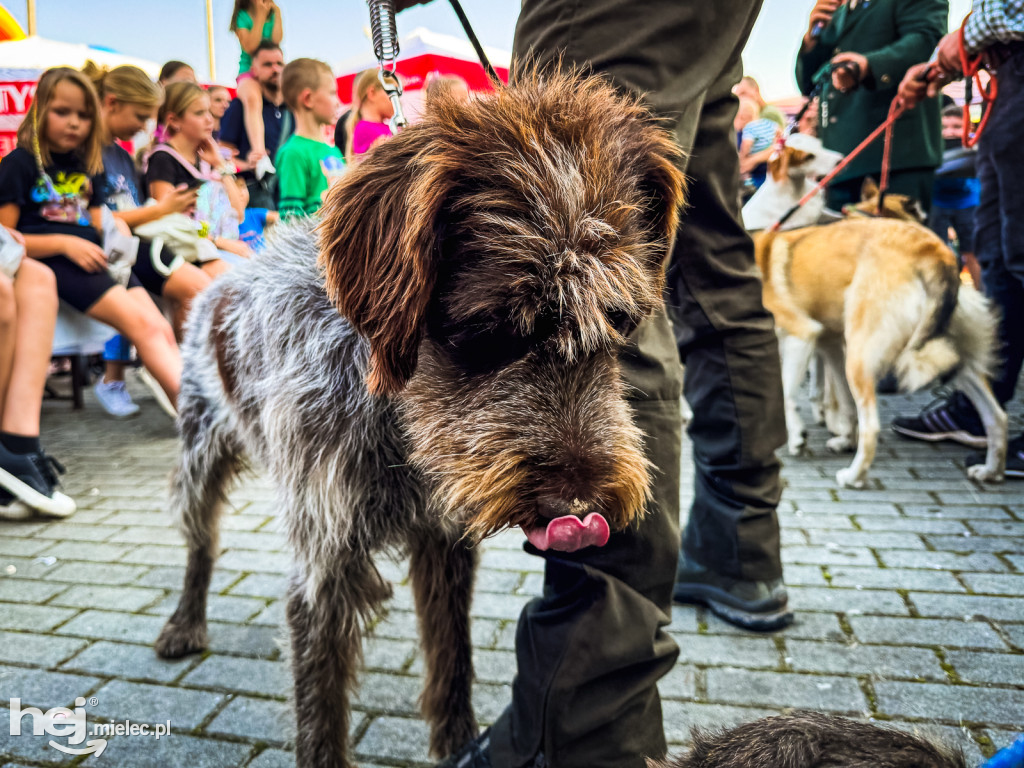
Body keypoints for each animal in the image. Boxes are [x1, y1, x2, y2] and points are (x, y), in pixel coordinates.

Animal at [153, 73, 688, 768]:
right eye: (489, 328)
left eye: (618, 321)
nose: (581, 507)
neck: (396, 419)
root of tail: (219, 279)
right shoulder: (323, 560)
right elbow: (320, 707)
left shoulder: (443, 541)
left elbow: (451, 651)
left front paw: (458, 741)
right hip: (200, 451)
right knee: (201, 541)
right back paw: (185, 621)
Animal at [753, 217, 1007, 487]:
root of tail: (933, 249)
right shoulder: (830, 345)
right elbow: (845, 403)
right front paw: (844, 440)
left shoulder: (801, 335)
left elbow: (786, 395)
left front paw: (796, 438)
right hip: (947, 356)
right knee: (996, 416)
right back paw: (991, 471)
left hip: (860, 358)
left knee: (872, 426)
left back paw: (854, 476)